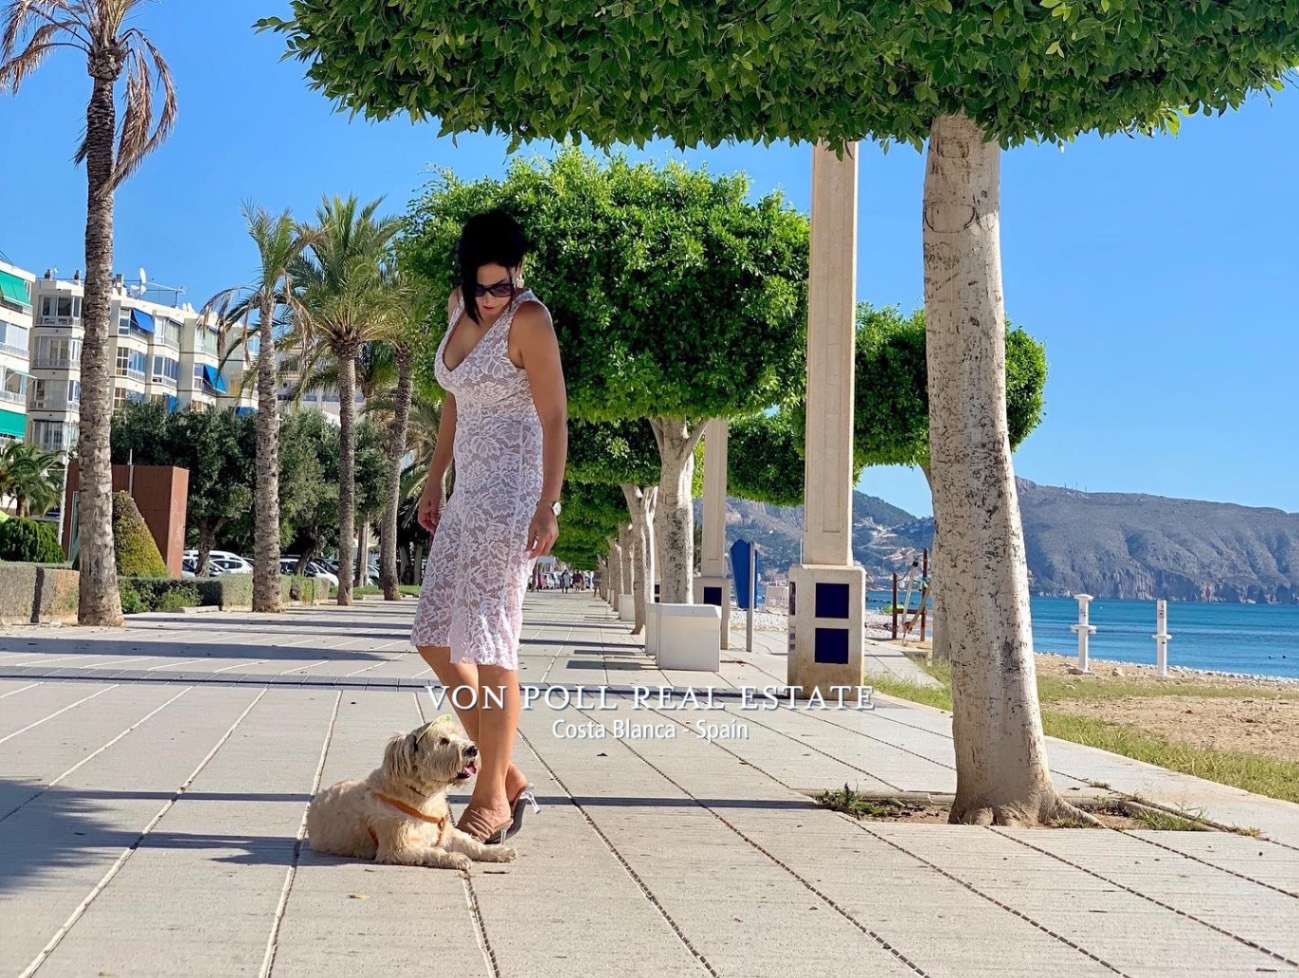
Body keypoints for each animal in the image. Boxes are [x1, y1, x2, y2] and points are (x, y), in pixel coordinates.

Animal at [307, 711, 517, 867]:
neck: (422, 797)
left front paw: (496, 851)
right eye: (443, 741)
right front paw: (454, 857)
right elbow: (432, 851)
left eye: (458, 735)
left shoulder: (446, 832)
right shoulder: (398, 848)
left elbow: (470, 842)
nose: (473, 749)